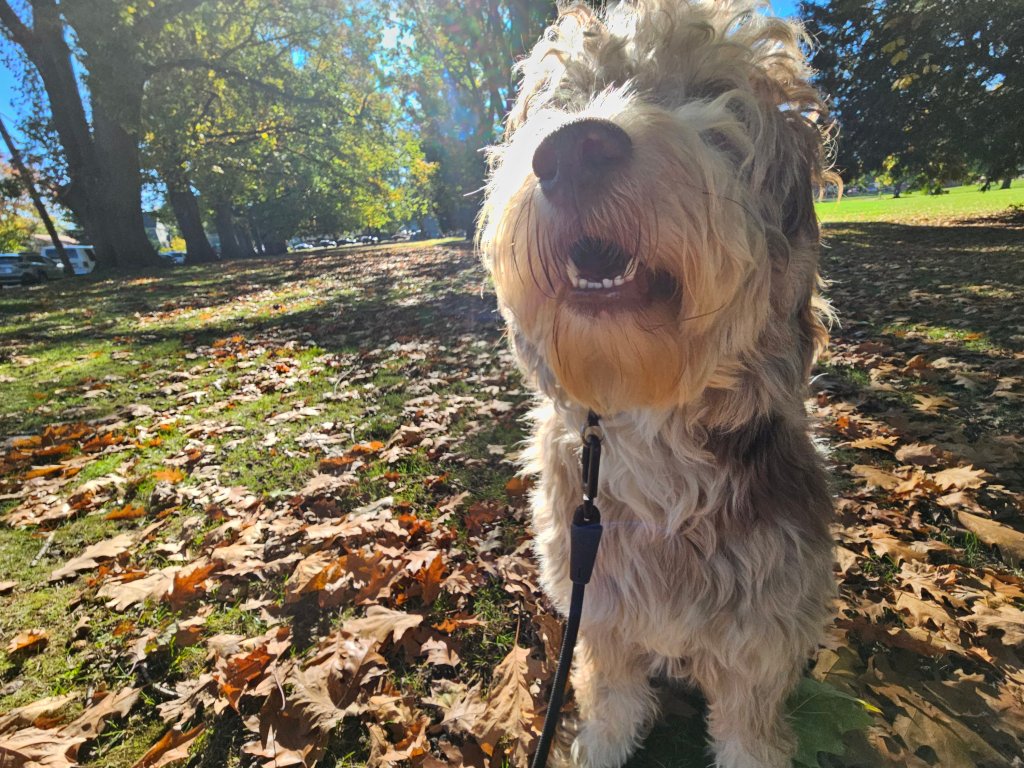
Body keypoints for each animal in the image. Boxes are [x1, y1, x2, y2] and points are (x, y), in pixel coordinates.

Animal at [478, 1, 836, 766]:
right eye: (566, 99)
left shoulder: (760, 643)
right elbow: (612, 700)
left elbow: (747, 733)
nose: (573, 150)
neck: (648, 413)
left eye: (713, 92)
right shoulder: (600, 608)